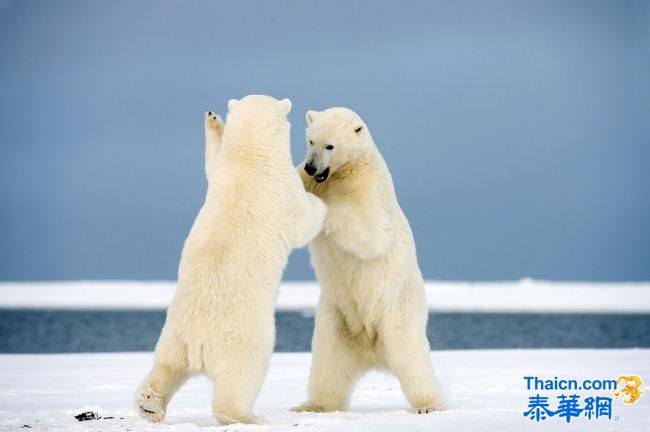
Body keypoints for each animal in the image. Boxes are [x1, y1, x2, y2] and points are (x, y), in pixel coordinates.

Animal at [137, 95, 330, 426]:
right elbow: (304, 221)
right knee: (241, 377)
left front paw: (213, 120)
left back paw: (148, 404)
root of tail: (199, 343)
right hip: (244, 339)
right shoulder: (281, 192)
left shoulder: (222, 173)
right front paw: (320, 199)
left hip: (173, 335)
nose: (212, 114)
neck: (250, 160)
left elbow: (210, 162)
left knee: (165, 367)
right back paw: (247, 416)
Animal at [294, 106, 446, 414]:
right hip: (335, 320)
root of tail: (371, 351)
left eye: (330, 145)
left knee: (411, 356)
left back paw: (428, 404)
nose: (312, 167)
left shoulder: (369, 188)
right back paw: (313, 405)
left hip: (397, 311)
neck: (342, 173)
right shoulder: (310, 180)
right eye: (311, 141)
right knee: (327, 365)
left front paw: (326, 210)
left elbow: (370, 231)